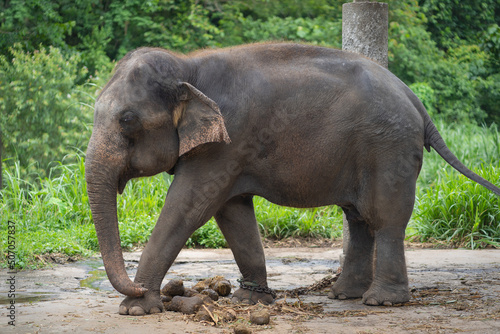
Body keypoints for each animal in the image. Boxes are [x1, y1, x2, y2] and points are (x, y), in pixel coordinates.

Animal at [86, 42, 500, 316]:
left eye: (127, 120)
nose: (138, 286)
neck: (188, 66)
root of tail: (416, 102)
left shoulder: (227, 142)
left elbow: (189, 206)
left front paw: (134, 308)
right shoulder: (231, 152)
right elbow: (231, 212)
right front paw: (250, 300)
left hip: (388, 148)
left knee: (385, 218)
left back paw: (380, 301)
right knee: (358, 218)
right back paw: (343, 295)